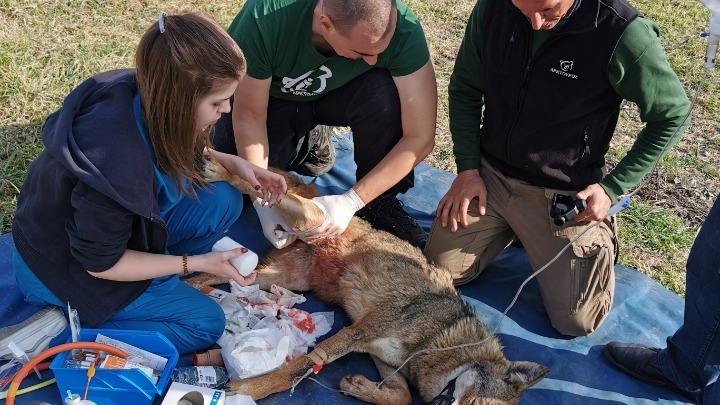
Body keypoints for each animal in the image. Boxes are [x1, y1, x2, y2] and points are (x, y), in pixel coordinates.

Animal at [188, 159, 548, 404]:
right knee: (263, 185)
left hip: (269, 278)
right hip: (309, 218)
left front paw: (358, 387)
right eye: (473, 402)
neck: (439, 337)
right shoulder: (355, 333)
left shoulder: (384, 359)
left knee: (208, 275)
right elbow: (297, 369)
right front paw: (248, 389)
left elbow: (401, 397)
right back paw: (219, 170)